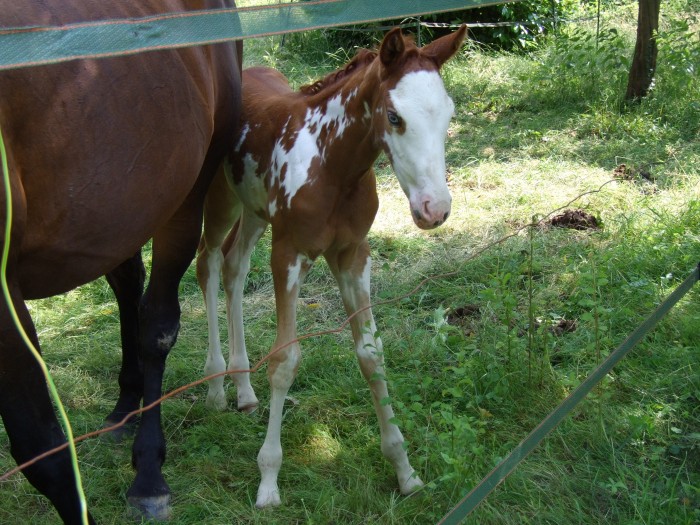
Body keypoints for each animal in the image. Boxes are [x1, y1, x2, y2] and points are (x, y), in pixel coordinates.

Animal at [0, 2, 243, 520]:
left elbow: (40, 450)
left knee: (157, 326)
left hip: (185, 196)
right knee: (129, 283)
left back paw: (149, 472)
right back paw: (125, 406)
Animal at [197, 25, 468, 508]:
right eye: (394, 116)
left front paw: (404, 470)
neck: (331, 165)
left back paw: (244, 391)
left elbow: (371, 354)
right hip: (221, 200)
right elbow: (285, 359)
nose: (434, 209)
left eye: (448, 114)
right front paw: (269, 481)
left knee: (234, 267)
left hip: (254, 212)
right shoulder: (288, 254)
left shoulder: (352, 255)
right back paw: (215, 387)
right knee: (208, 265)